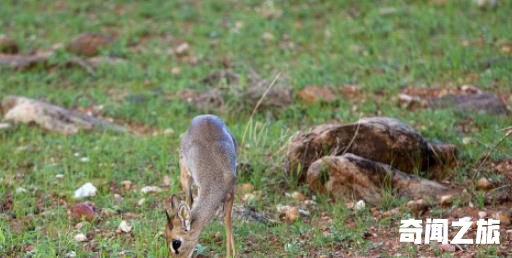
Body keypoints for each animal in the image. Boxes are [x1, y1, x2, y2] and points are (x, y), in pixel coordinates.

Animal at [166, 115, 238, 258]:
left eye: (176, 243)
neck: (216, 179)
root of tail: (204, 116)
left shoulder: (230, 194)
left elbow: (227, 222)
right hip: (185, 176)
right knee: (189, 200)